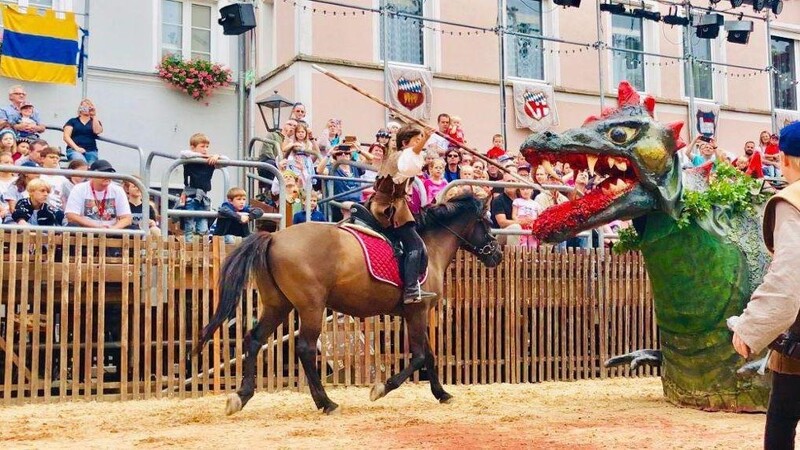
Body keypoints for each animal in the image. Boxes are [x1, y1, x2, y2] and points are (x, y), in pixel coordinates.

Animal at [195, 193, 504, 414]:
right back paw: (326, 402)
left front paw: (442, 394)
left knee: (255, 339)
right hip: (311, 306)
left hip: (278, 305)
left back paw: (241, 397)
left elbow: (428, 354)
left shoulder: (412, 314)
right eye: (488, 224)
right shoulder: (417, 310)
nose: (497, 255)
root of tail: (273, 237)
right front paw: (381, 388)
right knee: (305, 349)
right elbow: (418, 356)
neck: (430, 244)